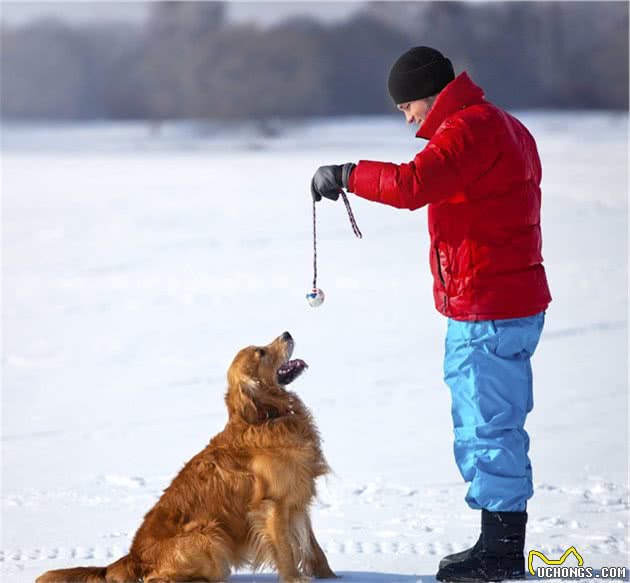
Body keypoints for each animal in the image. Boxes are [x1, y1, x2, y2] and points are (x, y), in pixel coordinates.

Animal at [37, 334, 338, 583]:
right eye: (261, 352)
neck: (268, 417)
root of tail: (134, 556)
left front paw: (331, 576)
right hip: (210, 537)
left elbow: (313, 548)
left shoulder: (297, 498)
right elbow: (286, 552)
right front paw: (296, 579)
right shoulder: (272, 505)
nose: (287, 333)